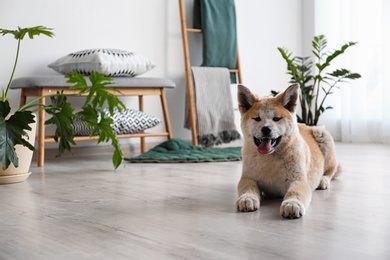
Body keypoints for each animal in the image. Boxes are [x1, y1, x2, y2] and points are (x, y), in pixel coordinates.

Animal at [236, 84, 340, 218]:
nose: (266, 129)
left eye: (276, 118)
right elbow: (248, 187)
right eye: (257, 118)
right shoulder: (248, 178)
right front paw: (247, 198)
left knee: (331, 171)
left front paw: (292, 204)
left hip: (323, 135)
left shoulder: (298, 180)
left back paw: (323, 180)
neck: (269, 159)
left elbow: (295, 192)